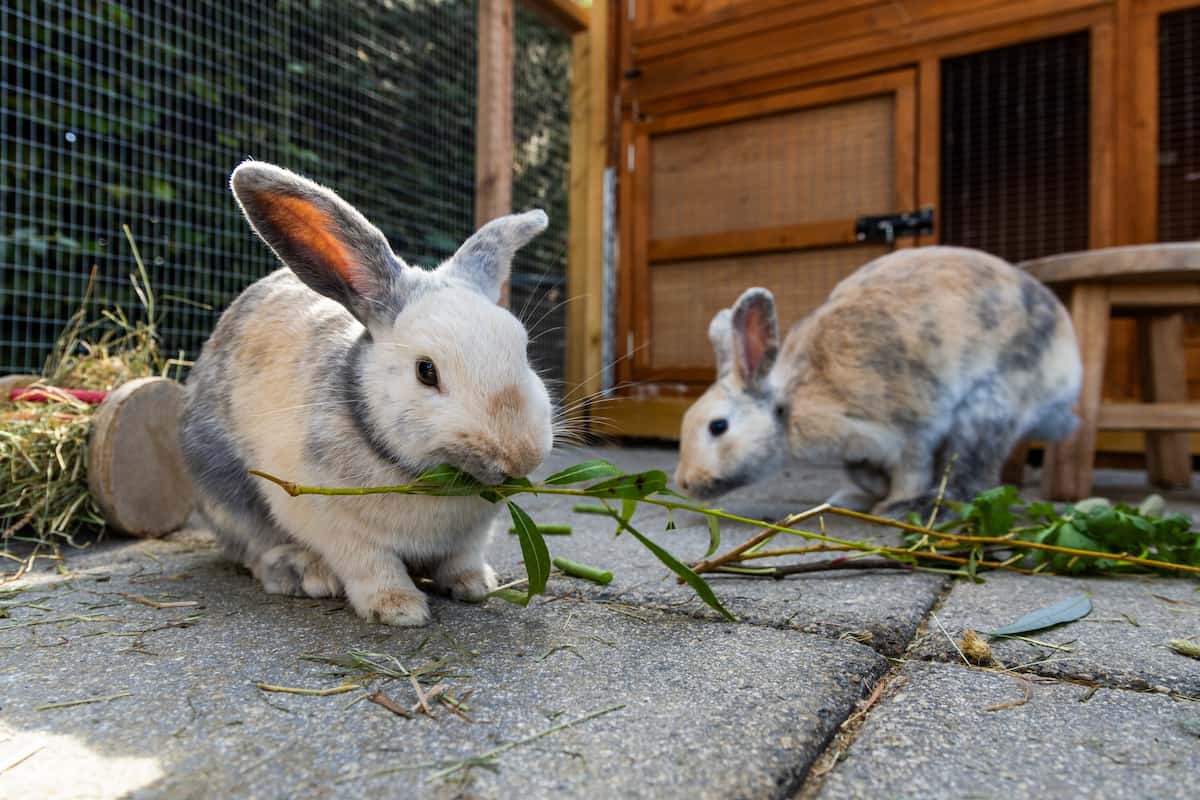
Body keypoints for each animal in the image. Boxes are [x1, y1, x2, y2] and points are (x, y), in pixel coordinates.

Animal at [180, 161, 554, 626]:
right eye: (426, 371)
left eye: (523, 348)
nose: (522, 454)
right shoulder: (338, 527)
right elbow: (372, 565)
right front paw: (399, 608)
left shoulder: (471, 536)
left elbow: (462, 558)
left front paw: (475, 585)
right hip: (223, 483)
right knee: (253, 545)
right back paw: (303, 572)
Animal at [674, 246, 1083, 518]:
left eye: (718, 426)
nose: (685, 483)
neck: (792, 401)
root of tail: (1069, 372)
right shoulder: (861, 448)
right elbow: (864, 472)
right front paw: (860, 496)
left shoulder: (911, 428)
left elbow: (912, 468)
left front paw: (893, 503)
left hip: (988, 405)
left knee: (971, 470)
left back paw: (926, 507)